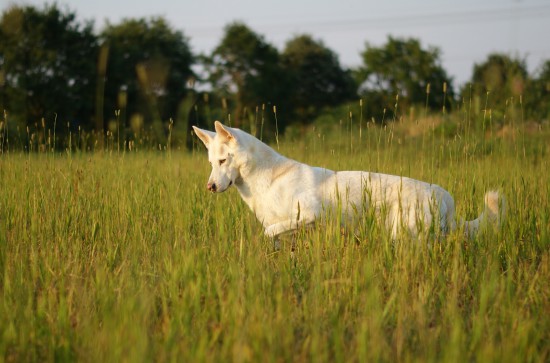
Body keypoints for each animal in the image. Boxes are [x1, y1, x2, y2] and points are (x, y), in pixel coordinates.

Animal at [194, 122, 508, 242]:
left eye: (222, 161)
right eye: (211, 163)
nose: (210, 187)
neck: (267, 178)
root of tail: (447, 199)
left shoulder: (310, 215)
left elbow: (269, 231)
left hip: (404, 235)